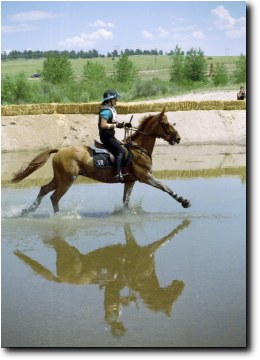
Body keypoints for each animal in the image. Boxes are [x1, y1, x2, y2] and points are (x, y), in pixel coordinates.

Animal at [11, 109, 191, 214]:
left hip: (60, 178)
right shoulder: (145, 177)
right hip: (67, 180)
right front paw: (184, 201)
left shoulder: (130, 181)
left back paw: (29, 210)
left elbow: (126, 201)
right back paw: (58, 217)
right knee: (54, 197)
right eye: (166, 124)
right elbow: (165, 187)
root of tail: (59, 151)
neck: (139, 148)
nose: (178, 138)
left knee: (44, 189)